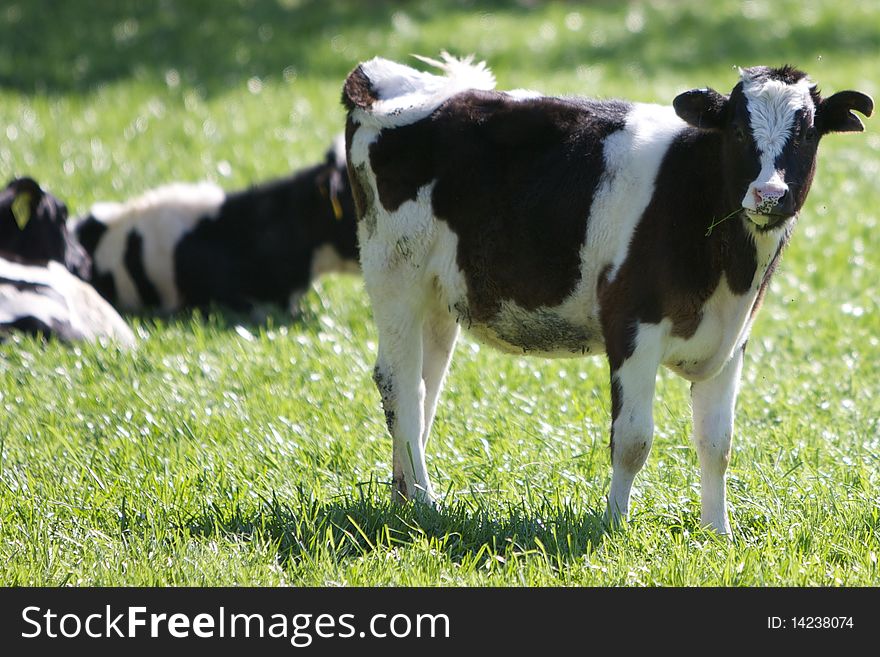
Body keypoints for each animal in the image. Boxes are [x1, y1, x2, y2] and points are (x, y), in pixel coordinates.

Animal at [340, 51, 868, 532]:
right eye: (738, 131)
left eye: (807, 133)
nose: (769, 194)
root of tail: (386, 78)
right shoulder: (632, 324)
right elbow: (633, 440)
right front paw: (615, 524)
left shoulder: (731, 340)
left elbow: (717, 444)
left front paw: (718, 532)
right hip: (394, 272)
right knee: (399, 384)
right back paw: (426, 501)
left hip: (437, 294)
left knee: (424, 385)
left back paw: (406, 498)